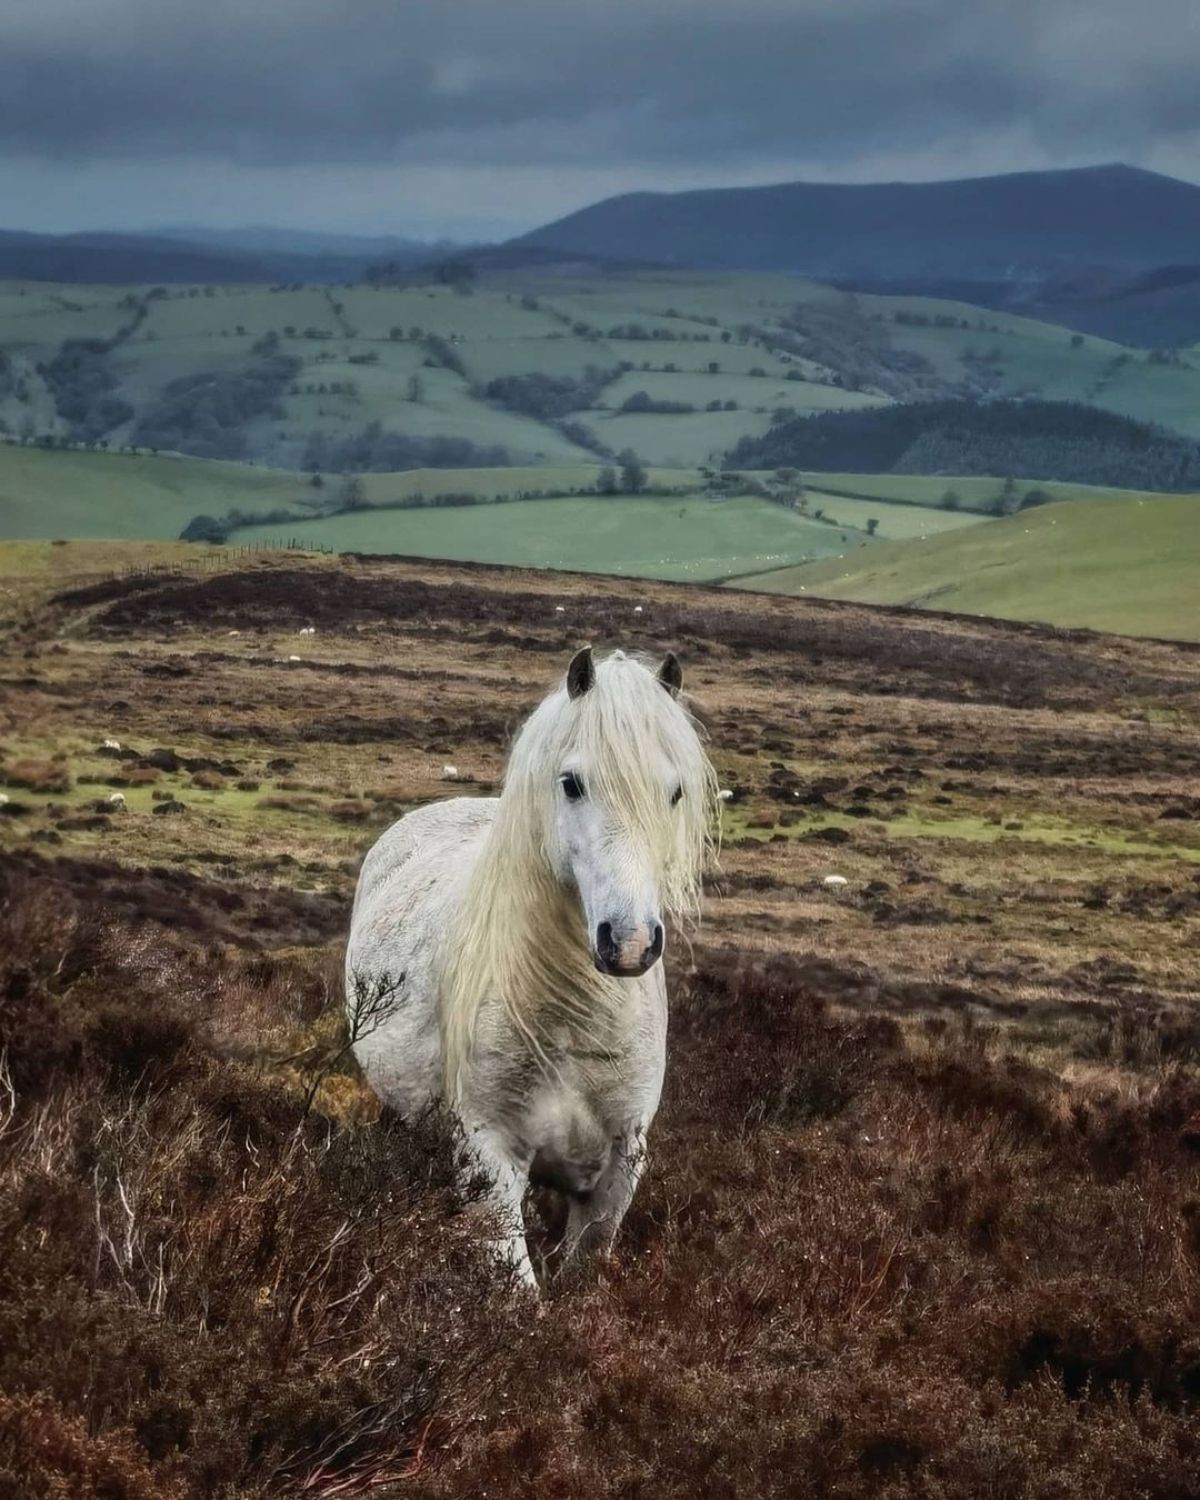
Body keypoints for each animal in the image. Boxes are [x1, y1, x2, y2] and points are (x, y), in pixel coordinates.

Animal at [342, 645, 717, 1290]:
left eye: (674, 791)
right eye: (572, 784)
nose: (629, 942)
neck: (574, 1024)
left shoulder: (618, 1172)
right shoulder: (490, 1162)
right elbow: (520, 1296)